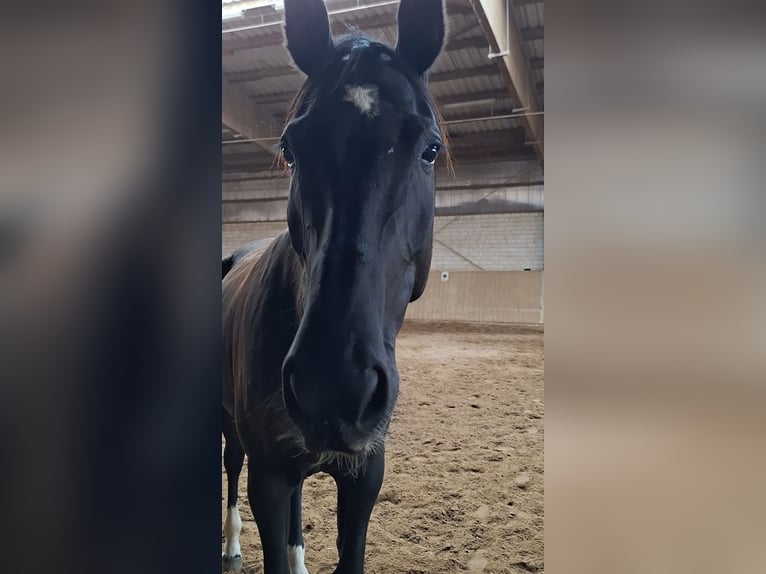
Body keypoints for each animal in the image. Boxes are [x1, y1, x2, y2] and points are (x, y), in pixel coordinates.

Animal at [221, 1, 446, 572]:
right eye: (290, 148)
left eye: (430, 149)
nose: (334, 388)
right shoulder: (268, 479)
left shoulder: (364, 478)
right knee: (230, 464)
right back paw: (231, 546)